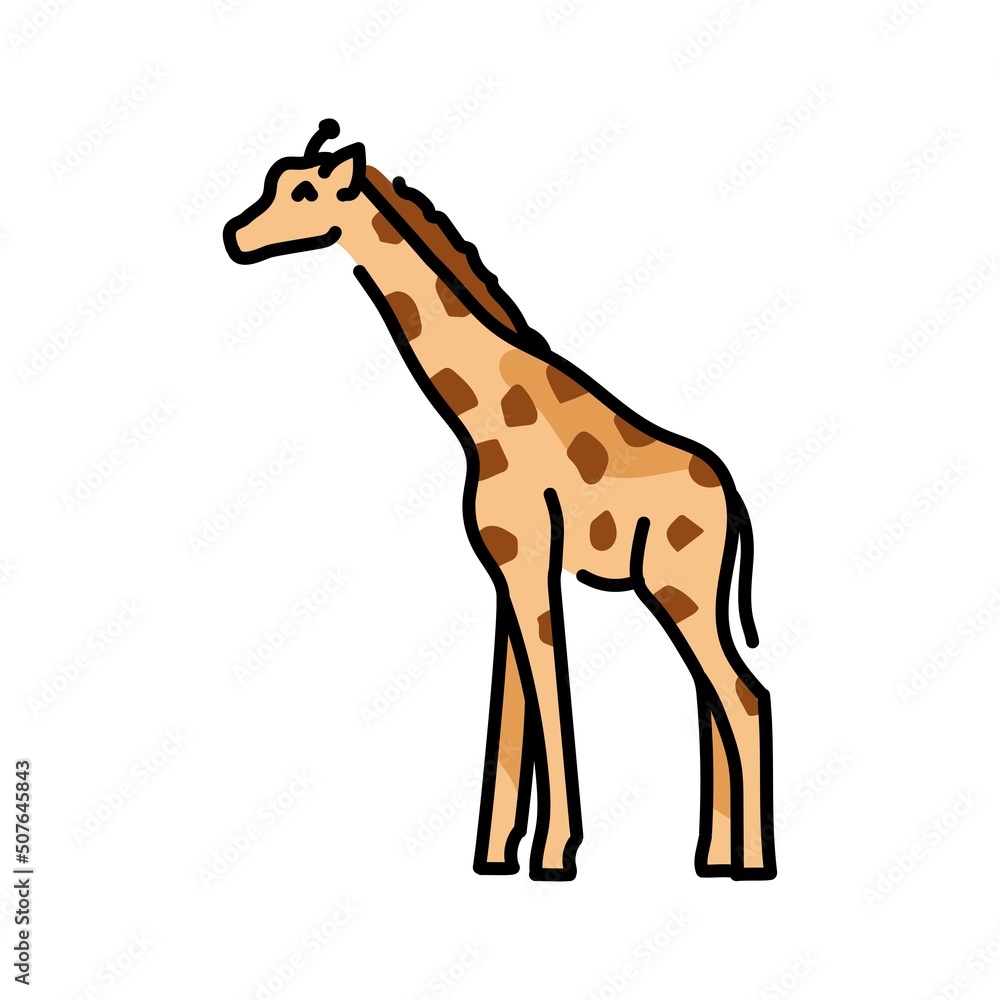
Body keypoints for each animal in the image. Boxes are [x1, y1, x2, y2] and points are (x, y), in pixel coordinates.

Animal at [223, 119, 776, 882]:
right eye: (271, 183)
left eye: (303, 192)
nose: (235, 236)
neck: (481, 413)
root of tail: (733, 498)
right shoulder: (506, 567)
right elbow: (511, 706)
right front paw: (495, 855)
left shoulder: (533, 564)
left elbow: (550, 693)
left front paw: (555, 855)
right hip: (682, 591)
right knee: (712, 694)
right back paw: (715, 855)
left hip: (679, 584)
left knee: (744, 696)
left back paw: (748, 862)